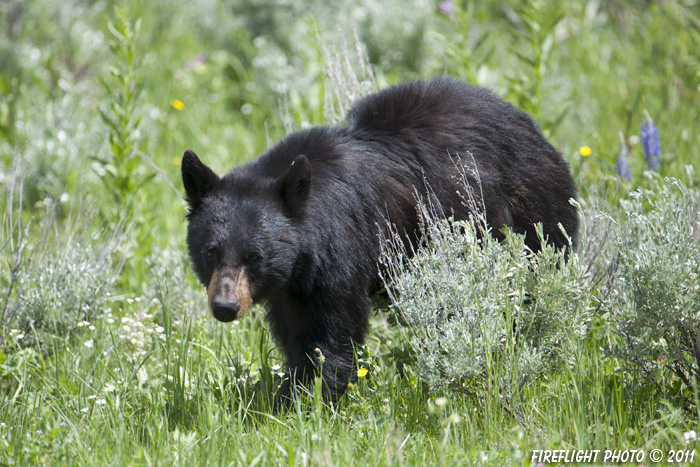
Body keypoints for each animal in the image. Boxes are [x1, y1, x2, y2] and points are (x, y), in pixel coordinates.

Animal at [180, 77, 580, 410]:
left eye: (254, 255)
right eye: (211, 251)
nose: (225, 306)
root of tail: (536, 129)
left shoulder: (342, 253)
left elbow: (329, 337)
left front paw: (303, 404)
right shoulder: (290, 285)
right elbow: (296, 336)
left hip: (532, 219)